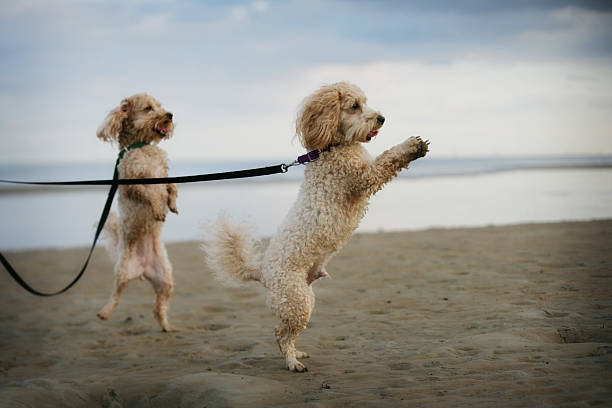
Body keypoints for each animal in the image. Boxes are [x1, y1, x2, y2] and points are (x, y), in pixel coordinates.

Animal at [95, 92, 177, 332]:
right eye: (149, 108)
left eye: (160, 106)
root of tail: (142, 269)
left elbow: (172, 187)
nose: (169, 115)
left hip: (166, 280)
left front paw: (173, 203)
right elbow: (150, 194)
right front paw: (159, 208)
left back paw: (167, 327)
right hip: (122, 271)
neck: (142, 147)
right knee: (116, 294)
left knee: (159, 308)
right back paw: (104, 312)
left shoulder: (165, 175)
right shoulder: (133, 183)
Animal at [202, 81, 430, 372]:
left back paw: (296, 352)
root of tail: (261, 271)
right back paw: (292, 362)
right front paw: (412, 147)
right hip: (294, 300)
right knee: (280, 333)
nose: (381, 118)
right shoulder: (362, 177)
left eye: (366, 102)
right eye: (354, 106)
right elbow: (387, 159)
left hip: (305, 301)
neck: (332, 146)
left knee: (287, 332)